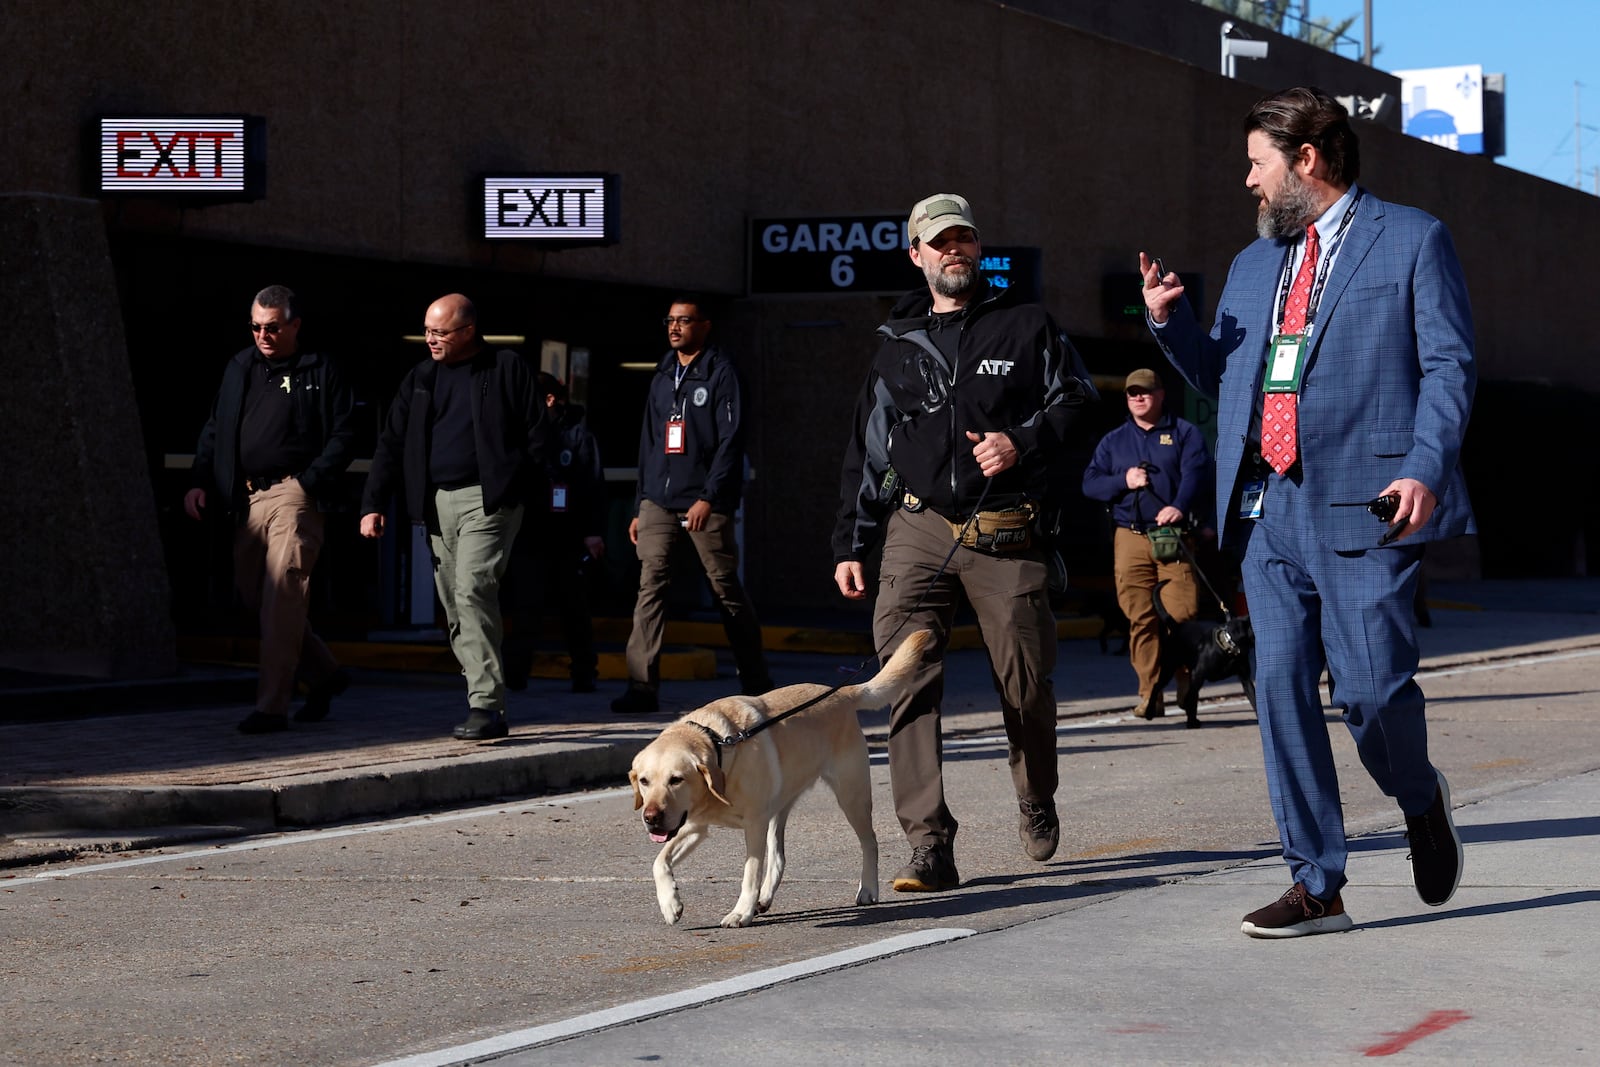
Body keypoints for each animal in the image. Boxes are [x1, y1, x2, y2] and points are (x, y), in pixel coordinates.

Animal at [627, 627, 934, 927]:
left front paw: (741, 912)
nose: (651, 818)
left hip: (851, 796)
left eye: (676, 779)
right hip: (779, 807)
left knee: (869, 841)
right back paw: (764, 898)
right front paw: (670, 904)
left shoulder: (753, 825)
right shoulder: (694, 825)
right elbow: (659, 862)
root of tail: (842, 693)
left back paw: (868, 888)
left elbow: (750, 872)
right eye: (644, 781)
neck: (719, 746)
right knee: (779, 857)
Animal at [1158, 579, 1254, 729]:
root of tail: (1177, 626)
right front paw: (1191, 722)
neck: (1229, 646)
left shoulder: (1245, 678)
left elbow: (1255, 700)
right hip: (1168, 669)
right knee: (1157, 687)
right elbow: (1191, 699)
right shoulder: (1197, 675)